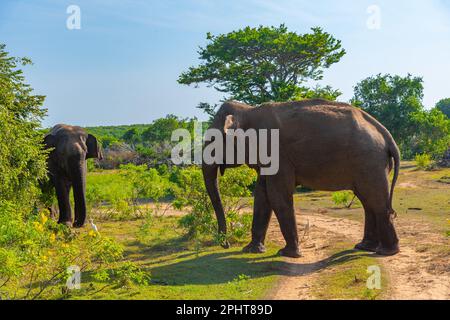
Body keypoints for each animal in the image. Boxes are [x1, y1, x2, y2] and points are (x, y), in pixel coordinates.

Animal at [202, 98, 400, 258]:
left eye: (212, 140)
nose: (225, 244)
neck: (248, 110)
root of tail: (386, 135)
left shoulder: (277, 154)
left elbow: (277, 196)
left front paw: (288, 254)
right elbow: (262, 197)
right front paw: (251, 250)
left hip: (370, 161)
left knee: (376, 201)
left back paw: (386, 252)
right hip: (369, 164)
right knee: (368, 201)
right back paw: (364, 247)